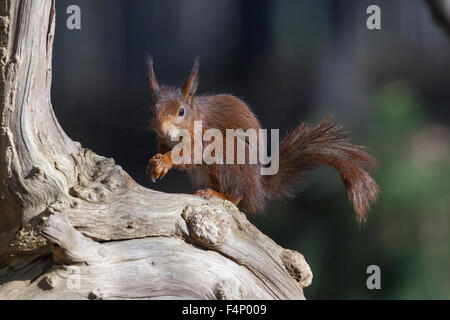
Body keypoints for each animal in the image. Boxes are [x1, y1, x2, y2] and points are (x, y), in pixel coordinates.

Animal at [146, 57, 378, 224]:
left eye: (181, 111)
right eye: (151, 112)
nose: (164, 131)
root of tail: (257, 189)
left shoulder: (203, 135)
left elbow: (191, 154)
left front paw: (165, 161)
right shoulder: (164, 141)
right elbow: (165, 148)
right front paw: (153, 162)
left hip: (226, 152)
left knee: (238, 196)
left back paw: (219, 195)